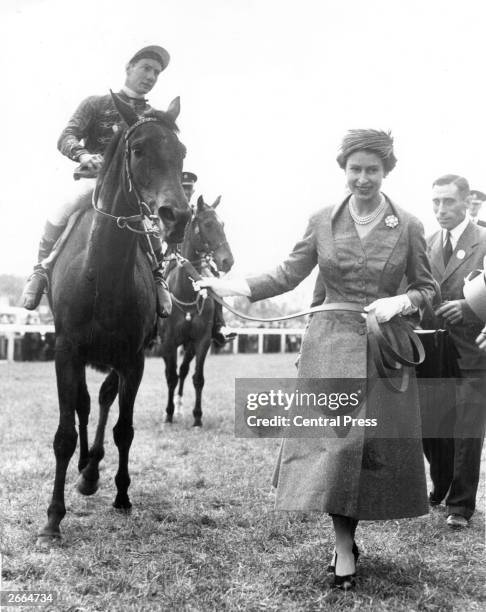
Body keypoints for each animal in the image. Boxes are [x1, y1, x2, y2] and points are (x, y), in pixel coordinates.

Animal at [39, 93, 191, 544]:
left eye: (181, 152)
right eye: (139, 150)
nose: (177, 216)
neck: (101, 275)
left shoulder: (132, 359)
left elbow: (124, 429)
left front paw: (122, 496)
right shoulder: (66, 351)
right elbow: (65, 434)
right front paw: (53, 520)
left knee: (103, 402)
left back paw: (92, 472)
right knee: (85, 406)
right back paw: (84, 471)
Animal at [159, 196, 234, 426]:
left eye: (223, 224)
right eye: (208, 224)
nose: (228, 261)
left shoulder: (202, 341)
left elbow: (197, 378)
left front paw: (197, 417)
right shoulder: (169, 342)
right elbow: (170, 377)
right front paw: (168, 413)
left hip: (190, 345)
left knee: (184, 372)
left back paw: (180, 407)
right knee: (173, 374)